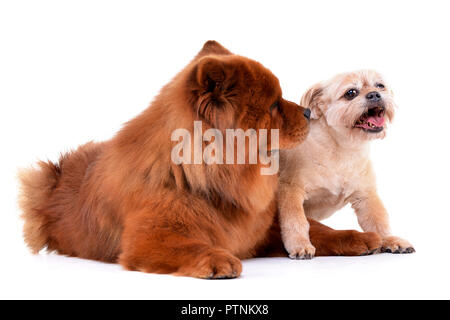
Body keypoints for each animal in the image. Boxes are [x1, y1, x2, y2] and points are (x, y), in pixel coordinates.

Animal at [19, 42, 382, 278]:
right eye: (274, 105)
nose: (307, 112)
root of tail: (57, 172)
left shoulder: (263, 227)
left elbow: (316, 228)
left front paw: (362, 238)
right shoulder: (149, 238)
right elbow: (188, 245)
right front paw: (219, 260)